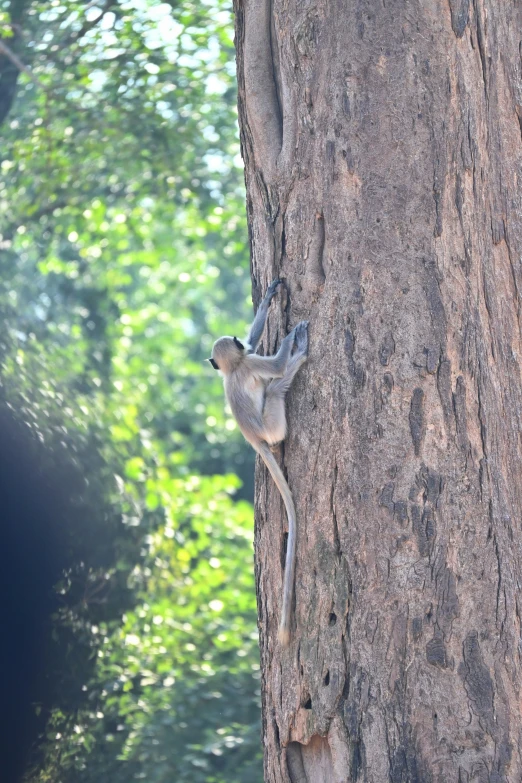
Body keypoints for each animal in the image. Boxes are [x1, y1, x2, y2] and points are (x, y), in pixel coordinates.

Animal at [207, 278, 306, 648]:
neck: (234, 369)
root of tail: (253, 437)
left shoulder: (246, 357)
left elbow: (254, 339)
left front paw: (269, 297)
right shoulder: (251, 364)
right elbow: (272, 366)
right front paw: (293, 340)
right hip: (273, 423)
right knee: (276, 388)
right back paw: (297, 359)